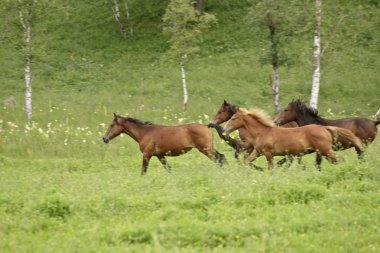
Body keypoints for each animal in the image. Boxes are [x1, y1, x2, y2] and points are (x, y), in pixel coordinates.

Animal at [224, 107, 364, 169]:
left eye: (233, 118)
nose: (225, 129)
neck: (263, 132)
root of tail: (324, 128)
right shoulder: (258, 152)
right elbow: (247, 161)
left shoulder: (269, 154)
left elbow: (271, 168)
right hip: (322, 152)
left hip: (326, 150)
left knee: (338, 161)